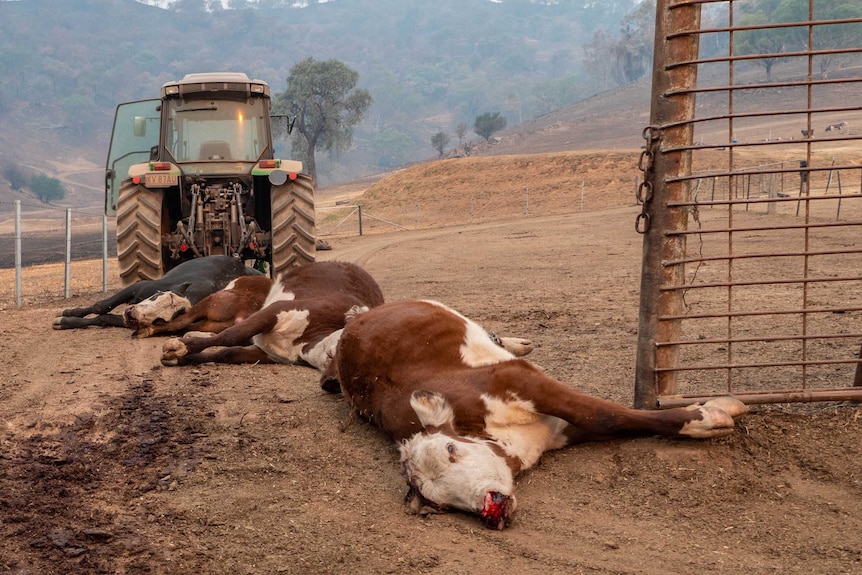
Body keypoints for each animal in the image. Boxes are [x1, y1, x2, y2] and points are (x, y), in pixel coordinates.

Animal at [53, 256, 264, 332]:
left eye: (160, 320)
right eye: (156, 297)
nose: (132, 314)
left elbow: (104, 318)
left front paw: (67, 322)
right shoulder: (139, 287)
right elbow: (101, 306)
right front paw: (67, 314)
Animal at [161, 260, 388, 368]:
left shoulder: (266, 354)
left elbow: (226, 353)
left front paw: (181, 358)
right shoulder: (275, 311)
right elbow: (231, 336)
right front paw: (180, 347)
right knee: (184, 321)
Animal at [330, 302, 748, 532]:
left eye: (451, 450)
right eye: (439, 504)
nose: (489, 506)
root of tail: (355, 322)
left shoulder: (524, 381)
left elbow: (604, 414)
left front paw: (710, 415)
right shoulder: (560, 431)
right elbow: (608, 420)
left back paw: (514, 341)